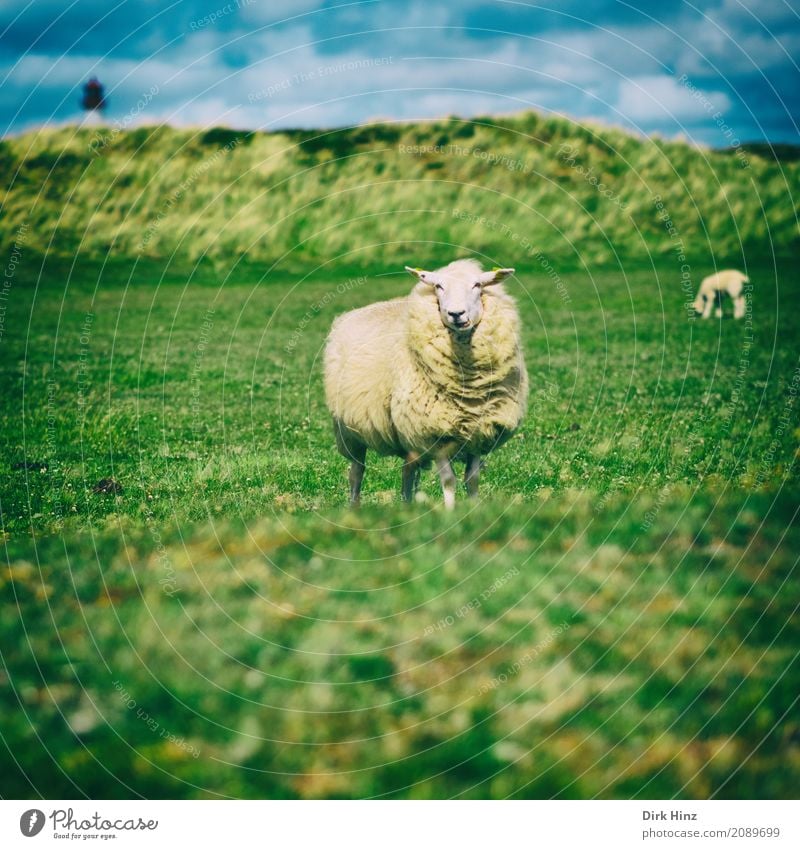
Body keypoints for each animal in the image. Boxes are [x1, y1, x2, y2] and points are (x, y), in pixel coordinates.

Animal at [322, 258, 528, 506]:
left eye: (477, 285)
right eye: (438, 286)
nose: (455, 313)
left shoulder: (479, 430)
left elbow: (472, 479)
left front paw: (474, 509)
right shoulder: (433, 434)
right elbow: (449, 480)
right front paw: (451, 512)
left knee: (407, 471)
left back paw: (408, 506)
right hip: (349, 430)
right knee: (356, 472)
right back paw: (354, 506)